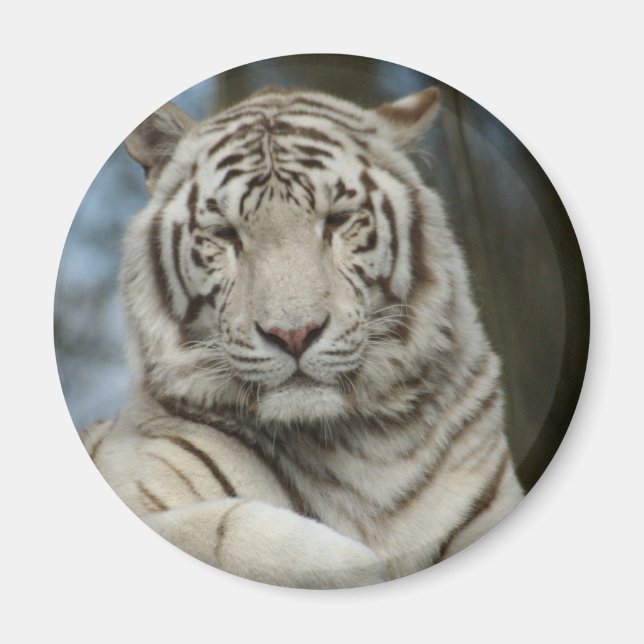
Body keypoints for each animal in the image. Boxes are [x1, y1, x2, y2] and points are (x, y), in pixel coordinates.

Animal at [80, 84, 524, 589]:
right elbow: (222, 533)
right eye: (224, 234)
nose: (293, 334)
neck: (363, 450)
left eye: (338, 220)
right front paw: (354, 562)